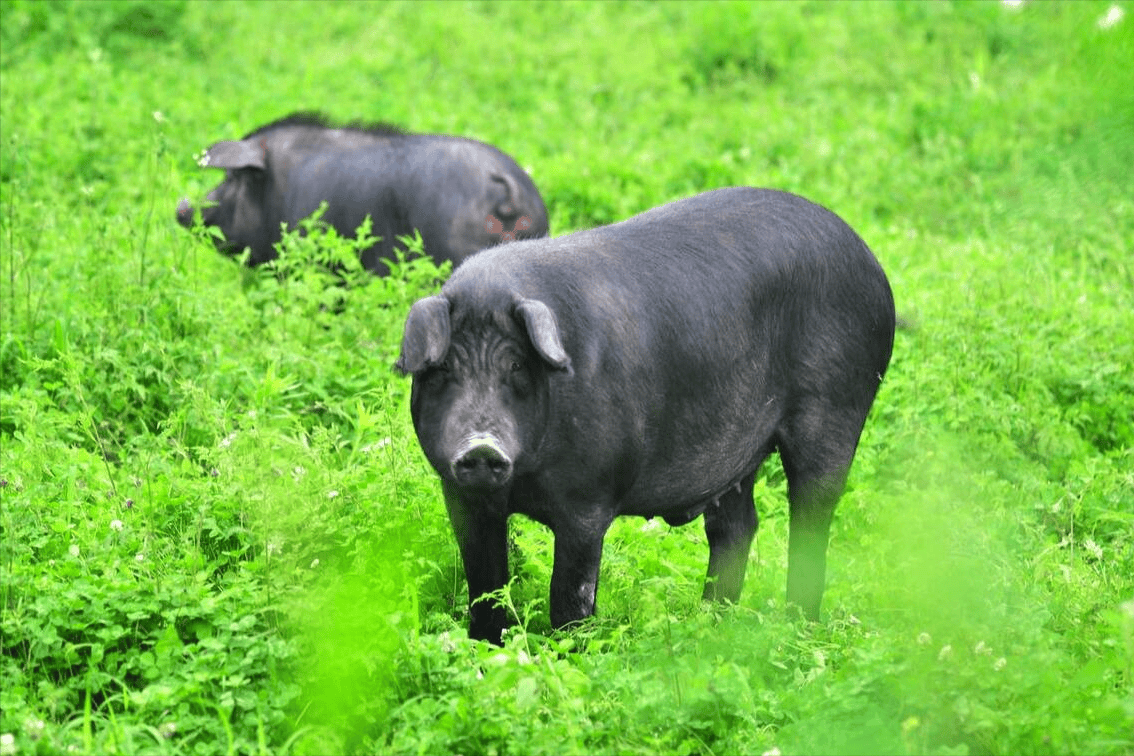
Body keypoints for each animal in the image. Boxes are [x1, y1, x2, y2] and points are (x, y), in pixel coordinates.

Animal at [399, 185, 893, 643]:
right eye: (443, 369)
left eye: (517, 365)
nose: (481, 446)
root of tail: (870, 261)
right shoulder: (461, 495)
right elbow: (485, 587)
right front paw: (485, 651)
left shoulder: (589, 501)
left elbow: (571, 597)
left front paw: (571, 653)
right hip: (737, 453)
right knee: (736, 527)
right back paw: (710, 624)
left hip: (837, 407)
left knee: (811, 514)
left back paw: (795, 627)